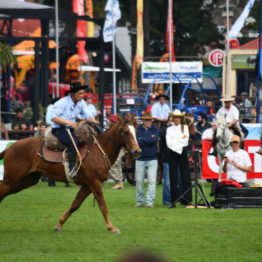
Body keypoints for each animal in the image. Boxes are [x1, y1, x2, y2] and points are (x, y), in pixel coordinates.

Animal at [0, 115, 141, 232]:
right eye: (126, 132)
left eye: (136, 132)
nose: (137, 151)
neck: (99, 150)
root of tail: (9, 148)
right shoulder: (95, 183)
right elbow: (102, 205)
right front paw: (111, 227)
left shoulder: (87, 186)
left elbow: (75, 205)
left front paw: (59, 225)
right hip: (12, 180)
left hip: (26, 180)